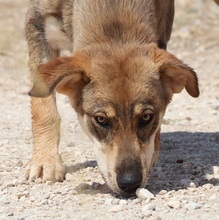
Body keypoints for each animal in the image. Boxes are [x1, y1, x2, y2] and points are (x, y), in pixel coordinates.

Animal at [24, 0, 199, 195]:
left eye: (147, 117)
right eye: (101, 119)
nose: (130, 184)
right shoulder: (37, 26)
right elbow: (44, 110)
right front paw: (45, 161)